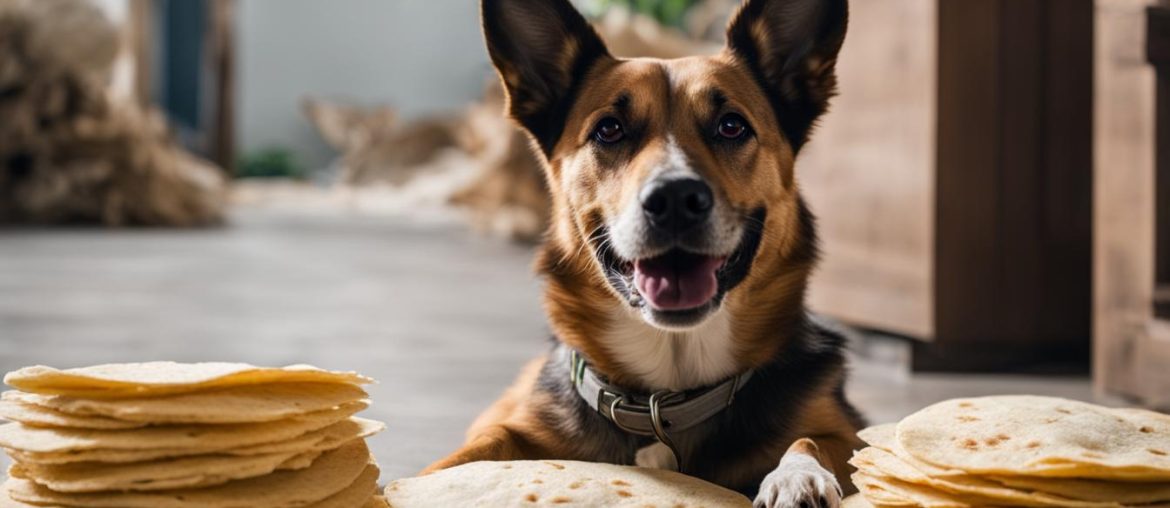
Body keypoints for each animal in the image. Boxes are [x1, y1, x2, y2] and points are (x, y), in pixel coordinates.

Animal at [425, 0, 865, 503]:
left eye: (731, 126)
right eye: (609, 129)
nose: (674, 198)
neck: (666, 395)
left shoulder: (850, 433)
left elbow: (812, 438)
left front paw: (796, 476)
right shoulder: (518, 428)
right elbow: (478, 447)